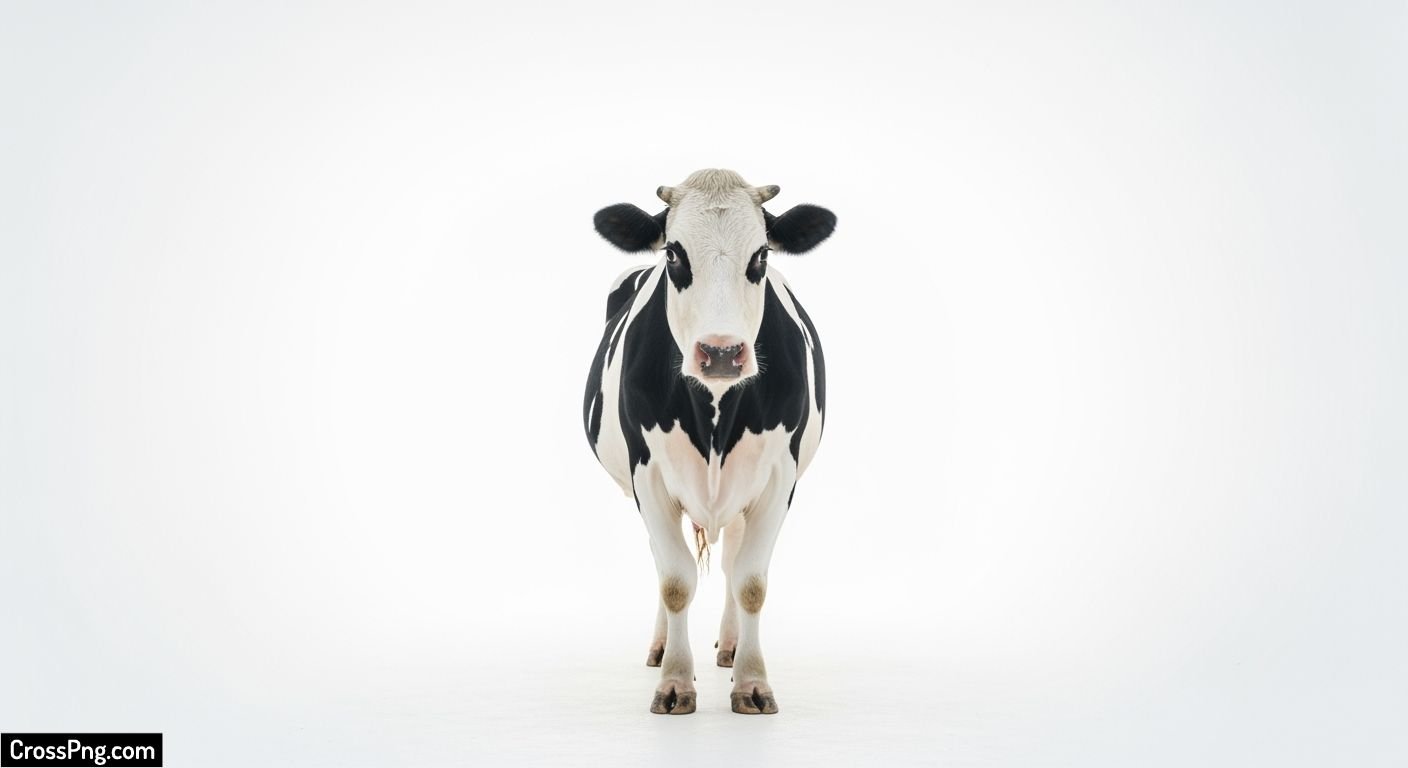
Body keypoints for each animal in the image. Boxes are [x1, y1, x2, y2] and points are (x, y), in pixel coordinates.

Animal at [582, 169, 836, 715]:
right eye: (674, 254)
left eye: (760, 255)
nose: (721, 353)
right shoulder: (649, 477)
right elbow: (676, 581)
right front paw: (675, 683)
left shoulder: (778, 480)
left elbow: (751, 583)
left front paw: (753, 684)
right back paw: (661, 648)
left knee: (733, 556)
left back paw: (732, 645)